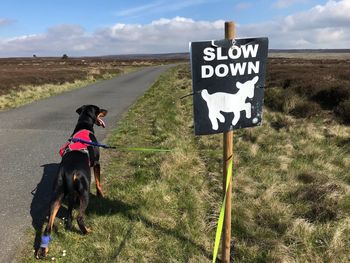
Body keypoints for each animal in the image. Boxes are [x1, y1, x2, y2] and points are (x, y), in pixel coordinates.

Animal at [35, 105, 107, 260]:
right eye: (99, 109)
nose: (106, 110)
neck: (84, 125)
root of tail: (69, 172)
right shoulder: (97, 163)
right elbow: (98, 181)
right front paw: (101, 194)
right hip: (85, 191)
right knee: (79, 217)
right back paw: (87, 231)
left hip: (58, 194)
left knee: (48, 226)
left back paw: (43, 250)